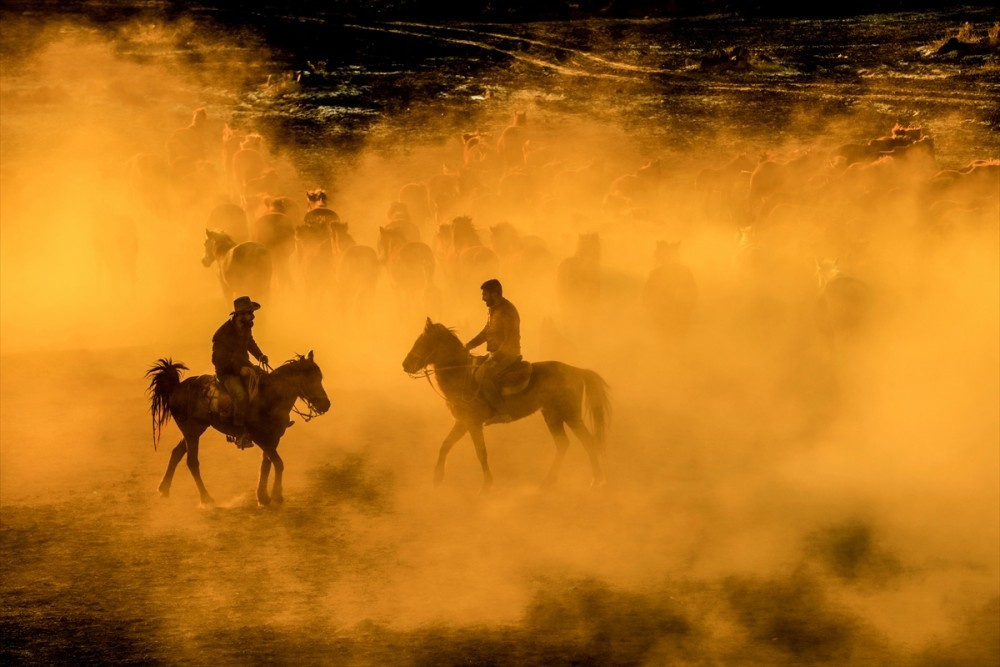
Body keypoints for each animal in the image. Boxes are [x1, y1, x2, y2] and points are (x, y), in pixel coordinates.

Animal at [146, 354, 332, 506]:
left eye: (320, 377)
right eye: (309, 379)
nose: (326, 405)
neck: (270, 397)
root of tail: (176, 388)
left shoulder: (273, 438)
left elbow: (267, 464)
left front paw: (263, 496)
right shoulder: (260, 438)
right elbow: (278, 463)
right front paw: (276, 495)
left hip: (194, 430)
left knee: (176, 452)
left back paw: (164, 489)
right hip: (192, 430)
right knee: (192, 462)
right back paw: (206, 498)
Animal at [400, 318, 608, 490]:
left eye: (423, 342)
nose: (405, 365)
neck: (463, 375)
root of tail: (576, 370)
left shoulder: (473, 424)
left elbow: (481, 452)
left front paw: (487, 485)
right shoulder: (463, 422)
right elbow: (445, 444)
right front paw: (437, 478)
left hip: (570, 415)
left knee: (588, 441)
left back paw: (596, 479)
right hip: (551, 414)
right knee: (563, 444)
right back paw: (548, 481)